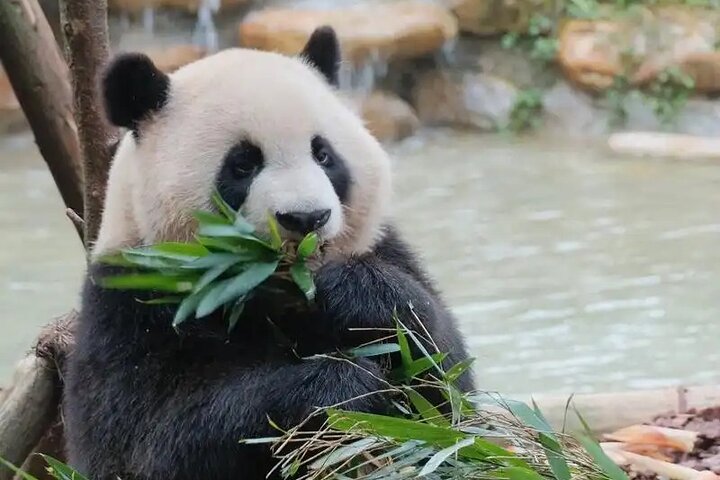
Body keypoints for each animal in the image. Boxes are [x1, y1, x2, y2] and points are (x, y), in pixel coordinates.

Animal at [63, 26, 474, 480]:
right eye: (243, 164)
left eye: (323, 154)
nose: (306, 217)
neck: (272, 288)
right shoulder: (133, 301)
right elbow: (153, 443)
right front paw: (344, 386)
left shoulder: (386, 249)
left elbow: (449, 391)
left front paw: (349, 294)